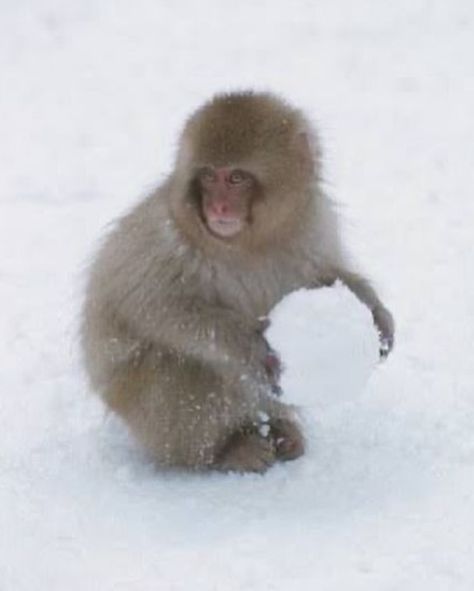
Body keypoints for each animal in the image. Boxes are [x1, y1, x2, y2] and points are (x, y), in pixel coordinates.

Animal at [80, 90, 392, 474]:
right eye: (208, 176)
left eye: (237, 178)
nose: (217, 208)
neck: (247, 245)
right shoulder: (160, 239)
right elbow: (155, 307)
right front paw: (254, 345)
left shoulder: (313, 222)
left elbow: (325, 272)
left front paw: (377, 313)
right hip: (135, 402)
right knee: (188, 368)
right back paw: (225, 450)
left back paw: (281, 430)